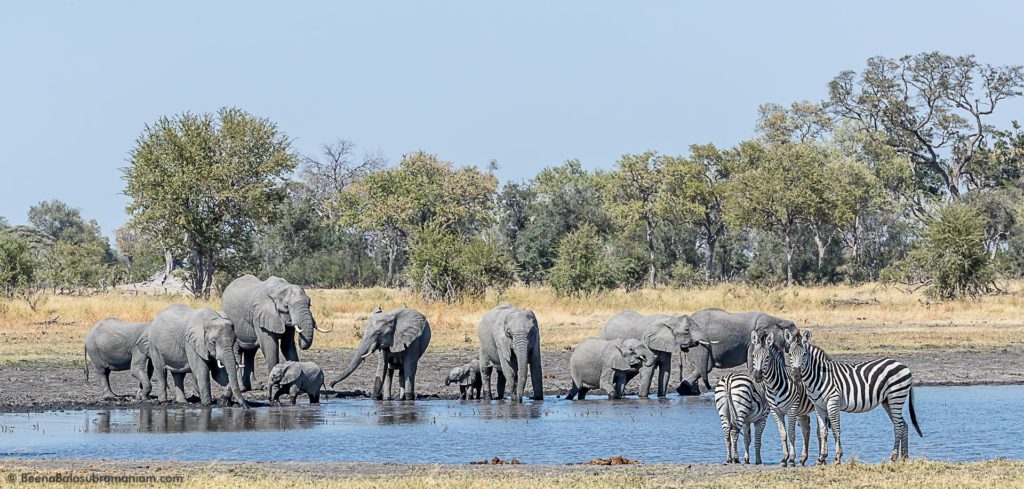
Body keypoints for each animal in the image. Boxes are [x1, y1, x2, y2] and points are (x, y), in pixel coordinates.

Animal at [753, 329, 823, 466]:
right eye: (753, 356)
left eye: (767, 357)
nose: (758, 376)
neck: (773, 386)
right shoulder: (775, 411)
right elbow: (783, 434)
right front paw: (784, 459)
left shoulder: (792, 409)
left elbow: (791, 433)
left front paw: (791, 459)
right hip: (802, 411)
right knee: (806, 430)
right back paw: (803, 459)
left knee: (820, 431)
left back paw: (821, 458)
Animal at [782, 329, 921, 462]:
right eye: (790, 354)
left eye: (804, 354)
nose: (796, 375)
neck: (819, 375)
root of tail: (902, 364)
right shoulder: (819, 406)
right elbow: (823, 431)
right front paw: (821, 458)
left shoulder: (833, 402)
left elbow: (836, 429)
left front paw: (837, 457)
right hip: (887, 401)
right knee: (904, 425)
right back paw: (904, 457)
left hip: (896, 396)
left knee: (898, 426)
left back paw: (894, 456)